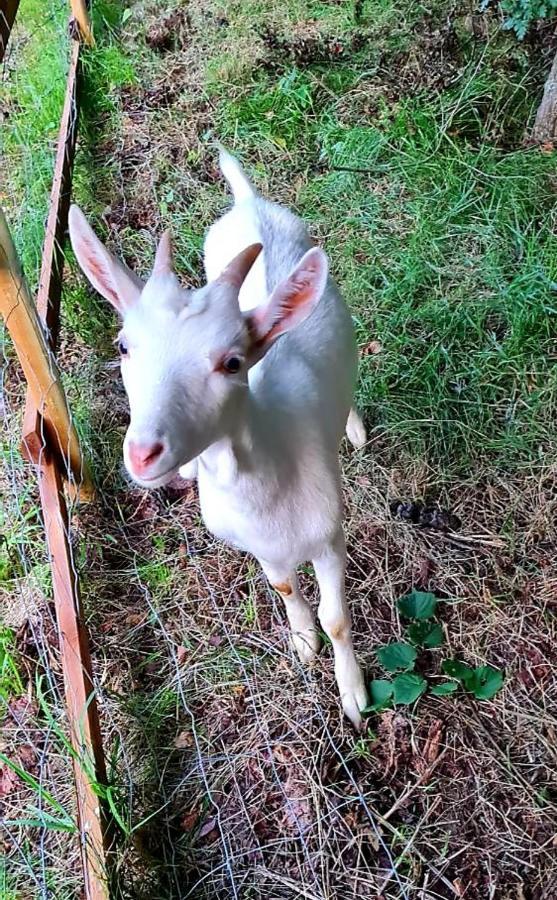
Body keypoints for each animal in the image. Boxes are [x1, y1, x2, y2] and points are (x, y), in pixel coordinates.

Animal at [67, 148, 368, 724]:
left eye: (232, 362)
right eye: (122, 346)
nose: (143, 454)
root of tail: (248, 201)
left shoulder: (330, 536)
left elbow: (338, 618)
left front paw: (354, 696)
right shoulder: (257, 544)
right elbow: (281, 584)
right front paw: (303, 642)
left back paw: (356, 428)